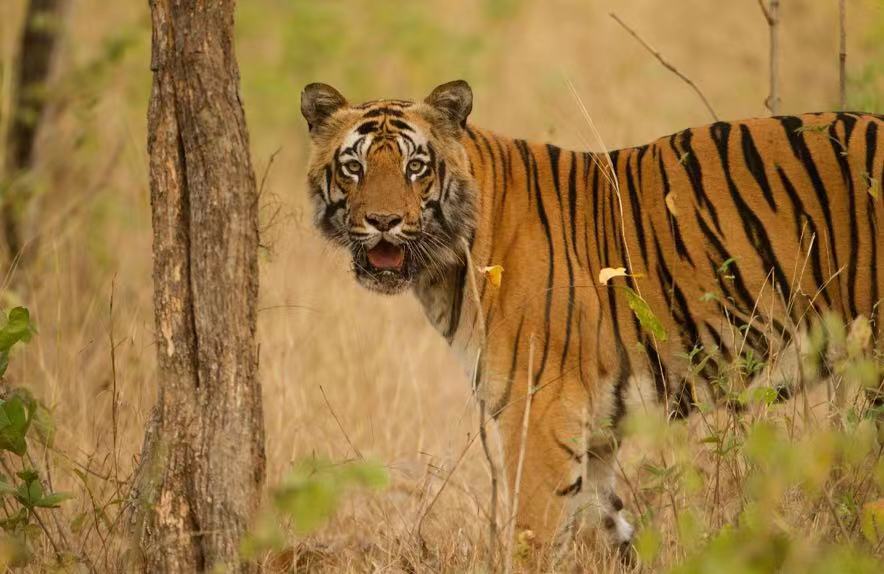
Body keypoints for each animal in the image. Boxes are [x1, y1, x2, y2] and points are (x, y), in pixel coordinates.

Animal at [298, 80, 884, 560]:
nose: (383, 221)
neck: (447, 267)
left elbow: (530, 539)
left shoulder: (540, 411)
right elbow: (607, 528)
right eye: (353, 167)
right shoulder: (596, 430)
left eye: (415, 167)